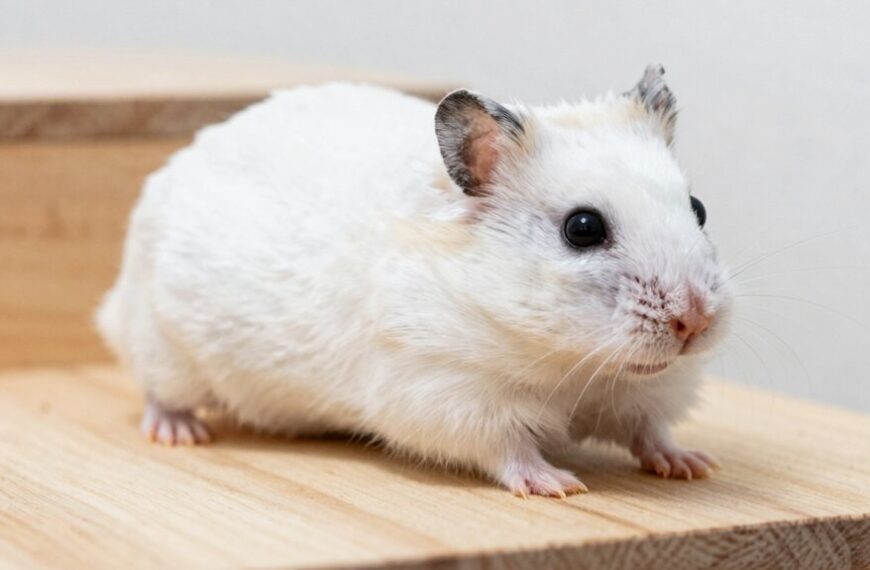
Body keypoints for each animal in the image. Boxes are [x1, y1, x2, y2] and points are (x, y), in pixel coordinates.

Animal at [97, 65, 732, 497]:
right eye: (582, 228)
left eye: (699, 208)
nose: (696, 321)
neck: (572, 366)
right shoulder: (451, 394)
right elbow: (508, 448)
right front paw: (558, 484)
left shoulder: (647, 394)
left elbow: (650, 431)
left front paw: (694, 464)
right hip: (163, 346)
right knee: (157, 391)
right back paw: (179, 432)